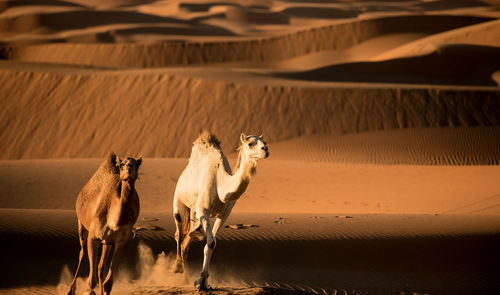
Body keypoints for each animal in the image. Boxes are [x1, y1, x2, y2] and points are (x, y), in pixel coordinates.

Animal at [65, 154, 142, 294]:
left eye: (137, 165)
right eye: (121, 164)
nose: (129, 168)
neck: (115, 221)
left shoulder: (122, 241)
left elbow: (108, 283)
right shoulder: (93, 237)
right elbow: (91, 281)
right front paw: (88, 291)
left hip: (107, 242)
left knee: (101, 267)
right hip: (81, 225)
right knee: (82, 253)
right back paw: (70, 290)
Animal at [172, 131, 270, 292]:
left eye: (265, 142)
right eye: (250, 144)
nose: (266, 150)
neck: (221, 185)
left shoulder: (223, 215)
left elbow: (211, 244)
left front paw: (203, 282)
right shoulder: (203, 211)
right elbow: (210, 242)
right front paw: (200, 282)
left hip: (194, 216)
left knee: (188, 239)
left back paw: (185, 279)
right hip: (179, 202)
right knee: (178, 232)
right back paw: (177, 268)